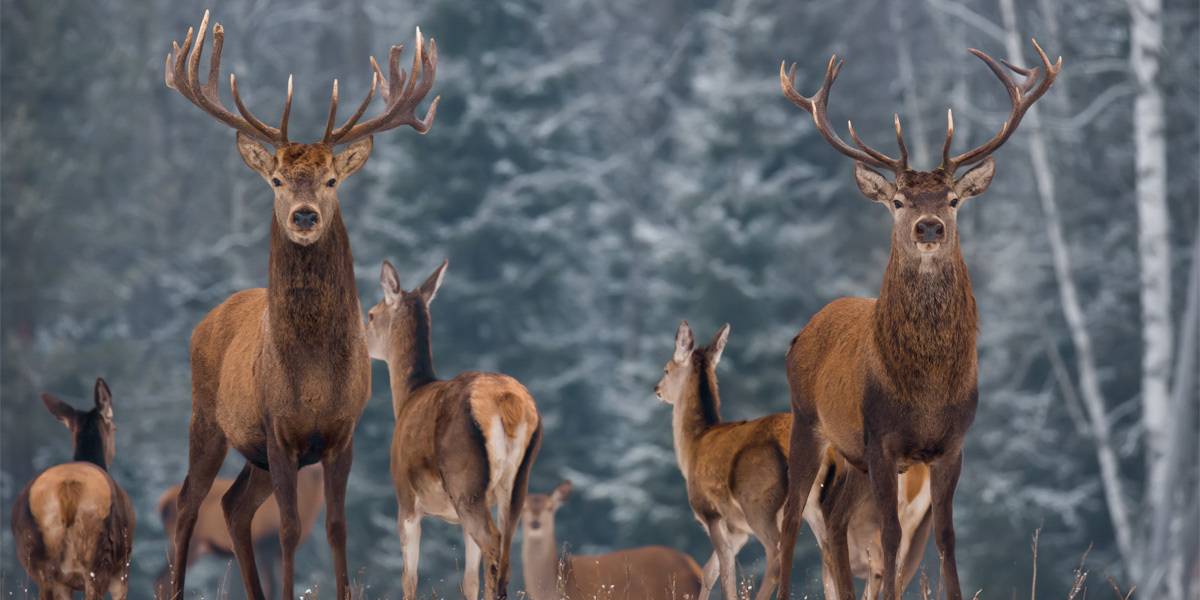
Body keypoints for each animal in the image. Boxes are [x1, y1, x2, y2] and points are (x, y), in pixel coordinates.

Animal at [154, 465, 325, 599]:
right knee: (163, 577)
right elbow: (272, 587)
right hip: (194, 543)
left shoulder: (277, 551)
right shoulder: (265, 546)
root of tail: (162, 503)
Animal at [365, 259, 543, 600]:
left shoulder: (405, 498)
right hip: (517, 481)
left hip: (465, 480)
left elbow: (409, 577)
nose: (359, 337)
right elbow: (468, 579)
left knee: (493, 543)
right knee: (505, 550)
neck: (406, 399)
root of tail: (508, 402)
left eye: (369, 314)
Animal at [656, 322, 930, 600]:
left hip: (759, 504)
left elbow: (721, 572)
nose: (657, 389)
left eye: (666, 368)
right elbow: (710, 570)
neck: (694, 445)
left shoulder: (711, 513)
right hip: (821, 507)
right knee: (834, 552)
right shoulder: (737, 530)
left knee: (778, 553)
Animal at [773, 42, 1060, 600]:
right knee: (792, 515)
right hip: (808, 420)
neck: (925, 390)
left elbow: (945, 536)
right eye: (899, 201)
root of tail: (802, 332)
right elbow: (889, 535)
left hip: (850, 454)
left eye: (953, 199)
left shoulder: (952, 444)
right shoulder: (881, 439)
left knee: (834, 517)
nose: (929, 226)